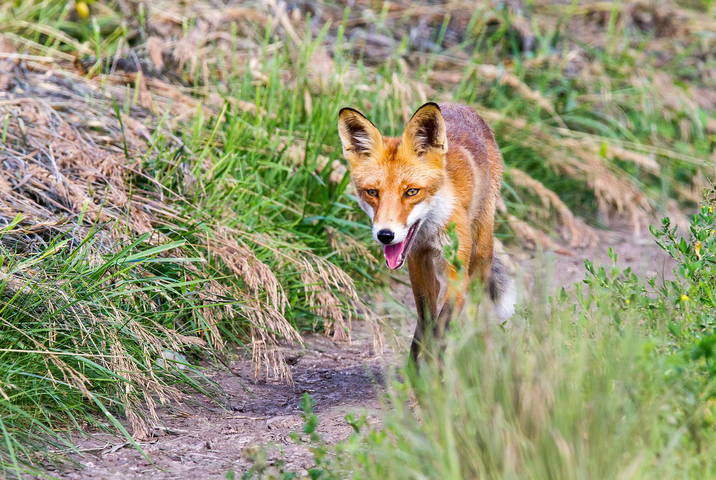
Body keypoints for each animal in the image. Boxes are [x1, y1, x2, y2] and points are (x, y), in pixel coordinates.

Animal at [337, 102, 515, 361]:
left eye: (411, 191)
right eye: (372, 192)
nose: (385, 235)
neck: (430, 228)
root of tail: (460, 105)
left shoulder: (457, 270)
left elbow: (442, 327)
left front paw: (436, 368)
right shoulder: (417, 259)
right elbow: (427, 321)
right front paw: (417, 366)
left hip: (481, 251)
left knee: (475, 304)